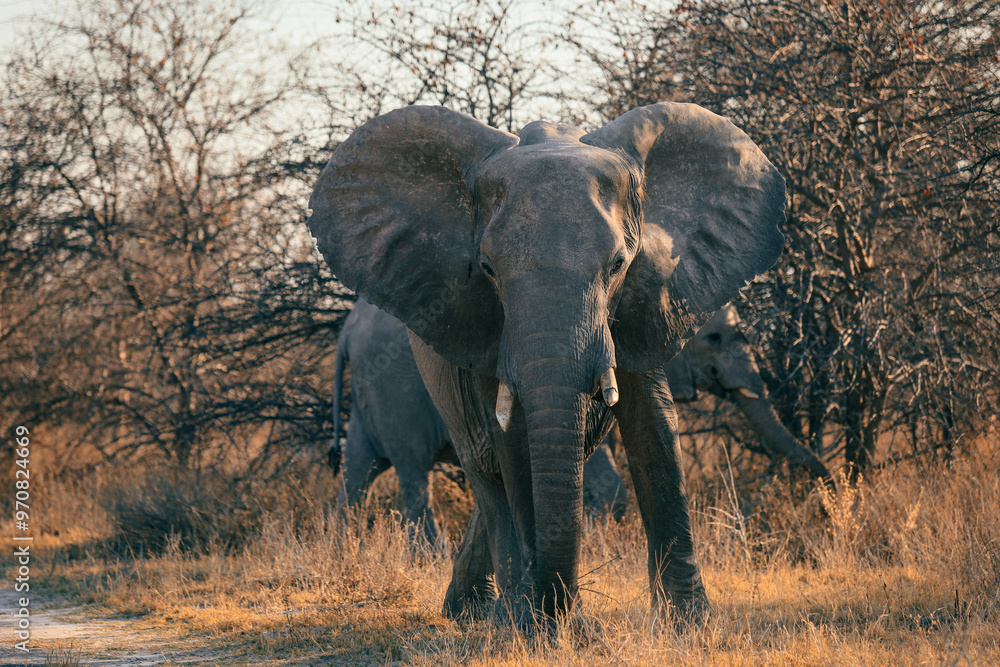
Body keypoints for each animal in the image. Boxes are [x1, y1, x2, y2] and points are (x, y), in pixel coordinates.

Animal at [328, 298, 629, 547]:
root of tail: (346, 332)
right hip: (395, 390)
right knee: (413, 471)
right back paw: (433, 554)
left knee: (359, 468)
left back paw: (343, 546)